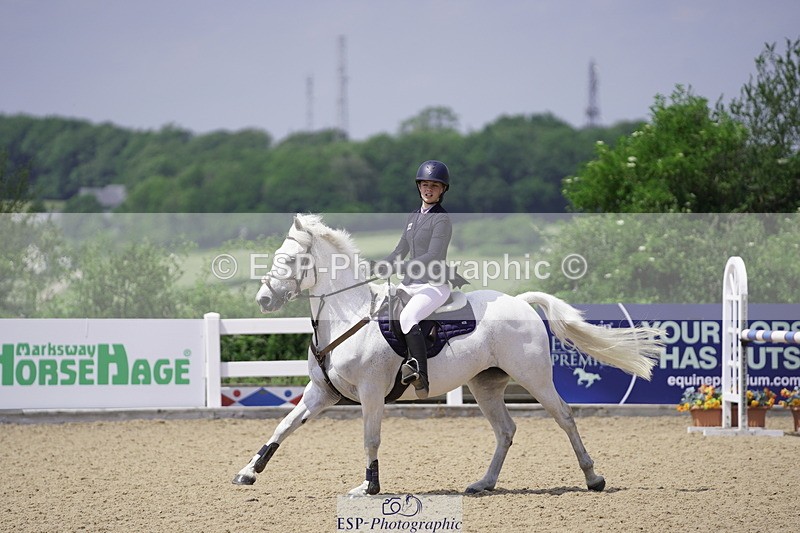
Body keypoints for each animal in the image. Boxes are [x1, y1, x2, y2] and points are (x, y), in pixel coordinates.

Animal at [232, 214, 663, 496]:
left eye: (291, 259)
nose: (264, 300)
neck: (346, 314)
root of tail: (520, 301)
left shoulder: (371, 393)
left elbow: (371, 438)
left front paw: (369, 487)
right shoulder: (321, 392)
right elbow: (282, 427)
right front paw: (248, 473)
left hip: (534, 378)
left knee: (565, 417)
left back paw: (593, 478)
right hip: (485, 385)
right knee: (506, 430)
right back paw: (483, 484)